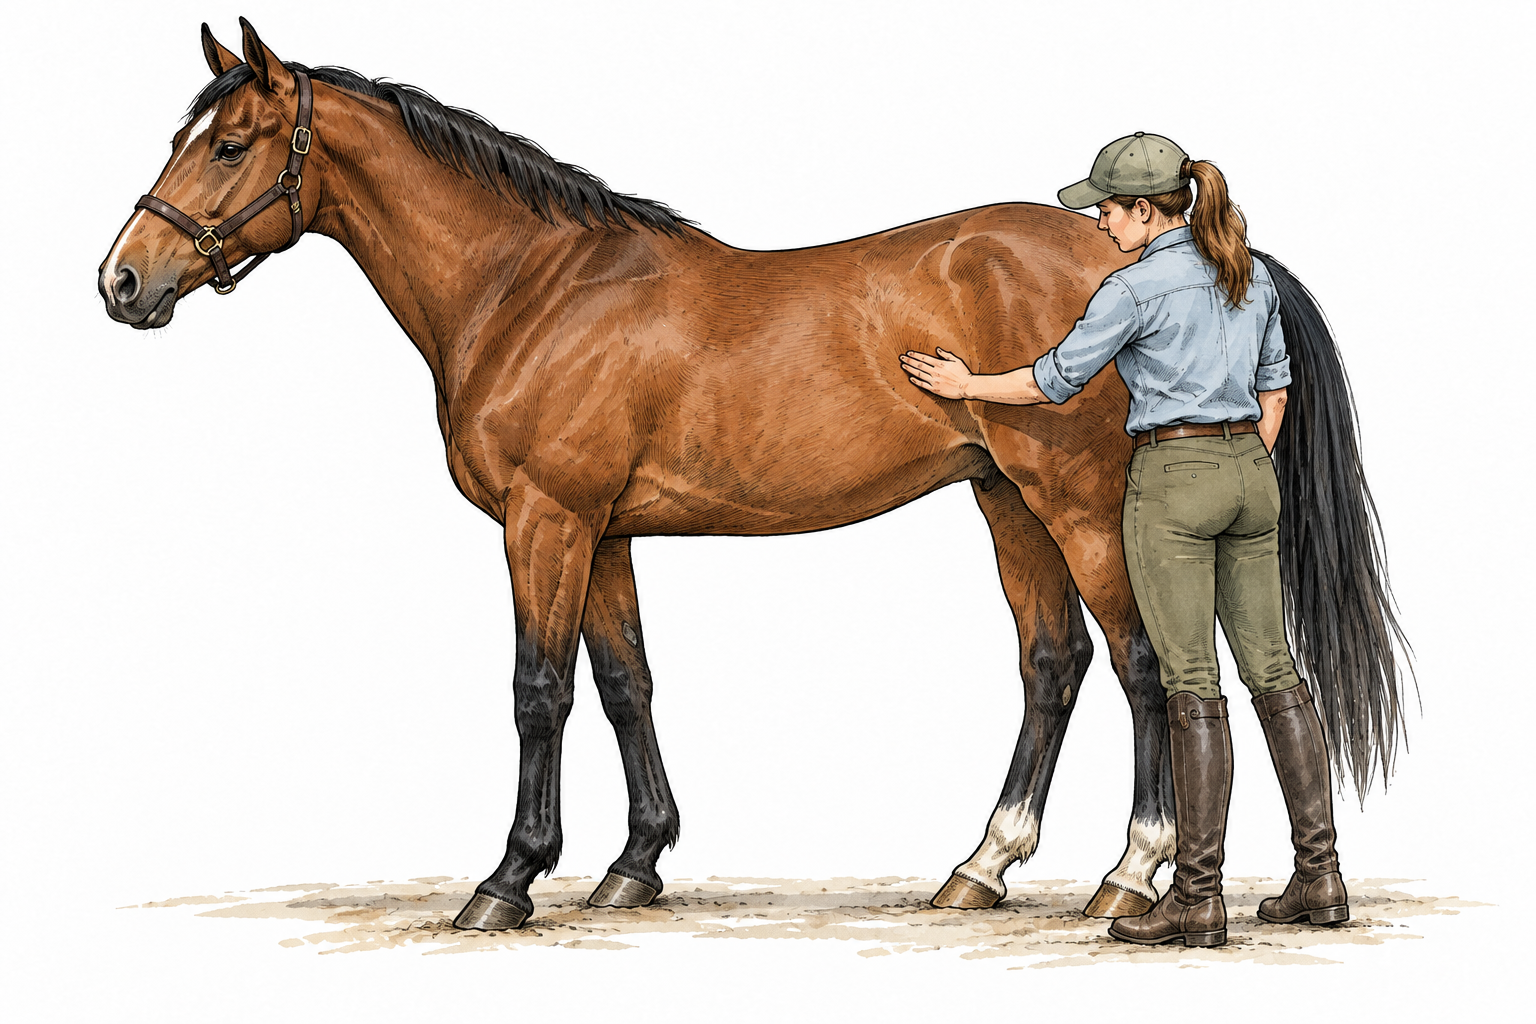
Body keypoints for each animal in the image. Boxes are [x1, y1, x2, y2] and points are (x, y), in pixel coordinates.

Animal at [97, 19, 1408, 931]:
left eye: (228, 144)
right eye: (180, 138)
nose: (122, 281)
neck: (531, 287)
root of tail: (1148, 249)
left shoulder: (544, 521)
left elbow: (538, 690)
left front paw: (509, 879)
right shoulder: (604, 531)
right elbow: (625, 684)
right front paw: (633, 866)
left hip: (1080, 506)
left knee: (1146, 670)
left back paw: (1128, 879)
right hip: (1005, 498)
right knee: (1054, 665)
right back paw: (979, 867)